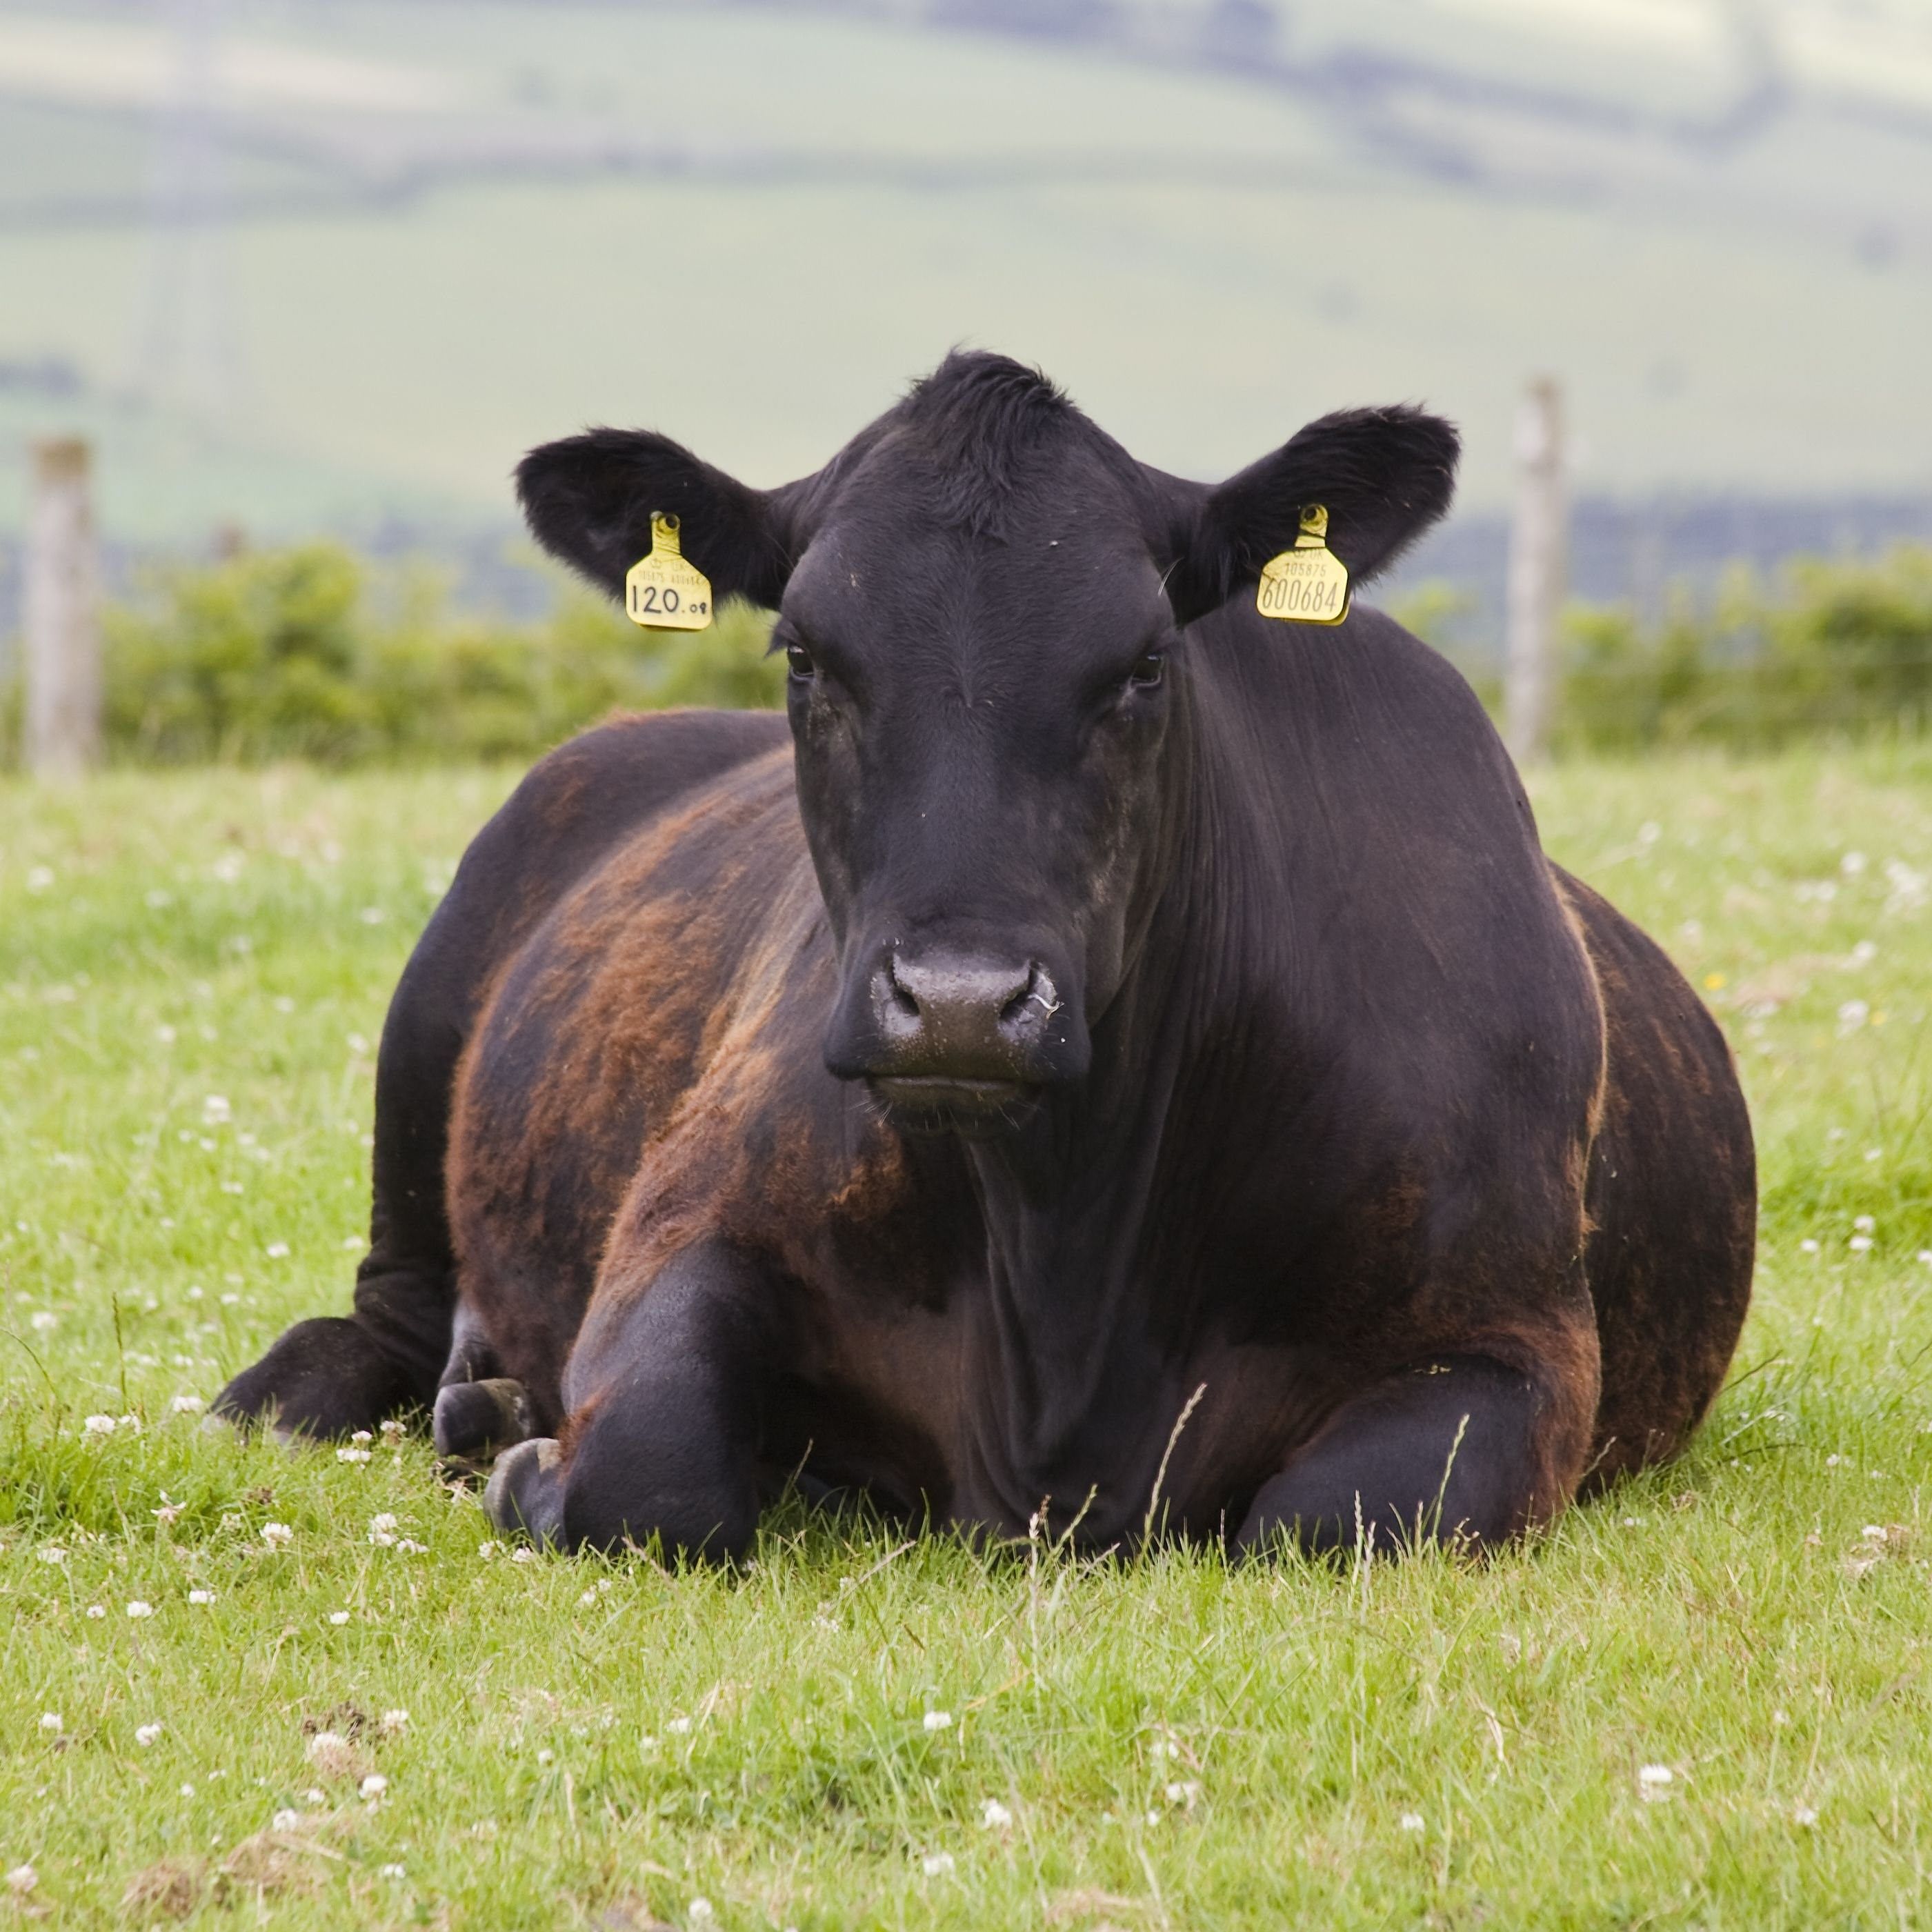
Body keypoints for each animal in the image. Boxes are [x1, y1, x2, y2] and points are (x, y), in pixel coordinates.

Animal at [219, 351, 1762, 1553]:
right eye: (802, 654)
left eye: (1144, 662)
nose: (958, 1005)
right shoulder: (689, 1221)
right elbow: (650, 1473)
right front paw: (537, 1457)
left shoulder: (1515, 1336)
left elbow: (1338, 1516)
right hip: (424, 1044)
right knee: (382, 1310)